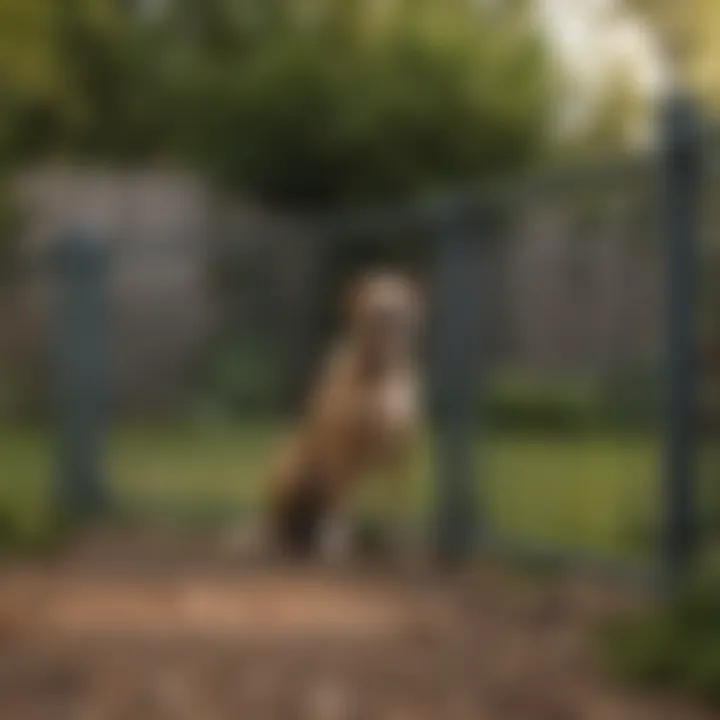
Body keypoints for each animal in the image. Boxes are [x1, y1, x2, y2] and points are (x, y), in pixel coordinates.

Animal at [266, 270, 422, 564]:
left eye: (400, 304)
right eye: (372, 306)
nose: (389, 313)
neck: (380, 375)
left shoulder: (401, 452)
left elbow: (401, 505)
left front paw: (404, 546)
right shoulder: (343, 450)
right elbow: (341, 503)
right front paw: (335, 545)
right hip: (291, 468)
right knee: (279, 520)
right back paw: (278, 543)